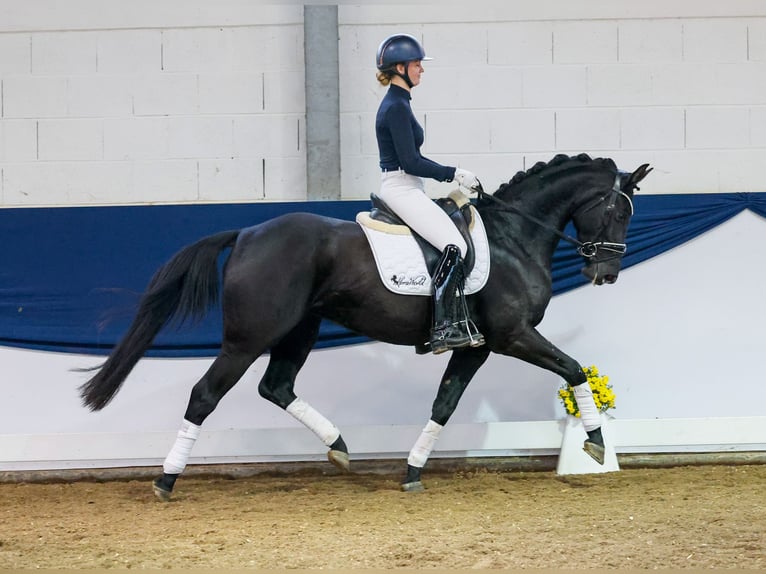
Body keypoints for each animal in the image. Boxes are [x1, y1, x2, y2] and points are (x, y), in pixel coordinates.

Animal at [79, 153, 656, 500]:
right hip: (249, 338)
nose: (605, 274)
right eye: (619, 212)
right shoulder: (512, 337)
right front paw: (595, 444)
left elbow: (444, 404)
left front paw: (413, 471)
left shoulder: (475, 346)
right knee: (205, 395)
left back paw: (338, 445)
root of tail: (245, 233)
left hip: (301, 329)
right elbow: (574, 370)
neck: (514, 237)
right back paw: (166, 479)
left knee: (276, 386)